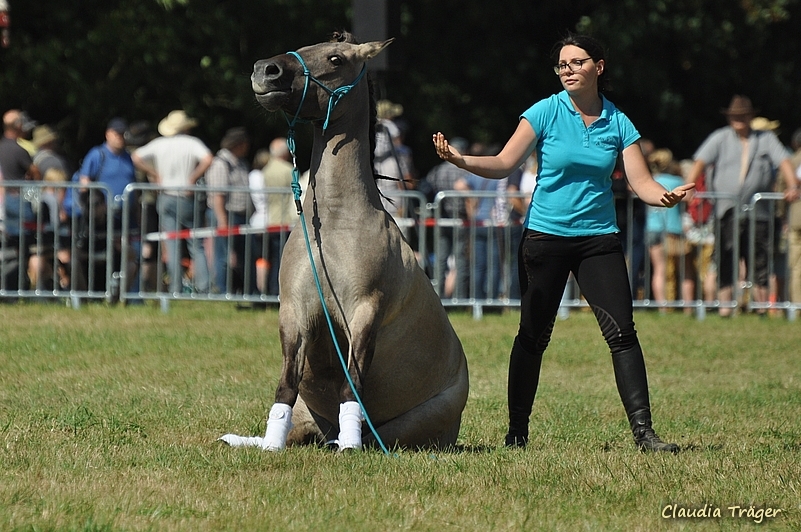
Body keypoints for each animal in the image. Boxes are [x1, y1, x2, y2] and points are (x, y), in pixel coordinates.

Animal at [219, 31, 468, 450]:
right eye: (305, 47)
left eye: (336, 58)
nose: (265, 71)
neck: (337, 224)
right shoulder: (295, 311)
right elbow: (285, 385)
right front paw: (269, 445)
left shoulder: (364, 311)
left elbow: (352, 385)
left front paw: (350, 446)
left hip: (412, 427)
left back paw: (348, 440)